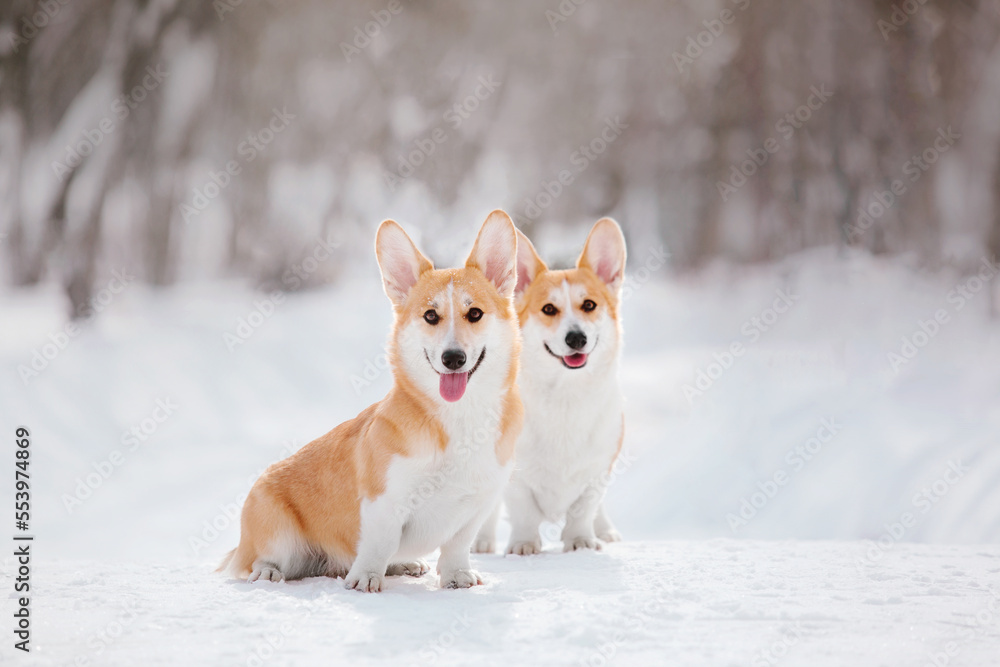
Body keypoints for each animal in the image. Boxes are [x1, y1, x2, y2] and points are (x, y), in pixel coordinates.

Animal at [220, 211, 524, 592]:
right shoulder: (384, 502)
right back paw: (267, 572)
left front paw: (457, 577)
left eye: (475, 314)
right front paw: (365, 579)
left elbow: (457, 546)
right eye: (430, 316)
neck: (459, 417)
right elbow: (379, 543)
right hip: (274, 527)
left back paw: (405, 563)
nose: (453, 358)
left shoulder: (477, 506)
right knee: (257, 560)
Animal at [474, 220, 624, 560]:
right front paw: (524, 545)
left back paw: (606, 531)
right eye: (549, 309)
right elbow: (524, 512)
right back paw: (483, 542)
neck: (565, 395)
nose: (576, 338)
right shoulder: (516, 477)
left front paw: (582, 541)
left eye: (589, 305)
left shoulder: (597, 470)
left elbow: (583, 510)